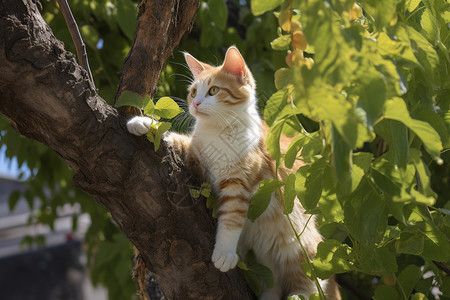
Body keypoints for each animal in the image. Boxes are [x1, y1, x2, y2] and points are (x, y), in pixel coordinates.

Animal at [125, 45, 340, 298]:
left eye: (213, 90)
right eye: (194, 92)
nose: (195, 104)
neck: (219, 130)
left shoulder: (239, 184)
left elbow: (232, 220)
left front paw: (224, 253)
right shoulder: (196, 160)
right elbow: (174, 137)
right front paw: (143, 123)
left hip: (302, 253)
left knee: (309, 285)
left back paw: (298, 294)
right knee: (273, 285)